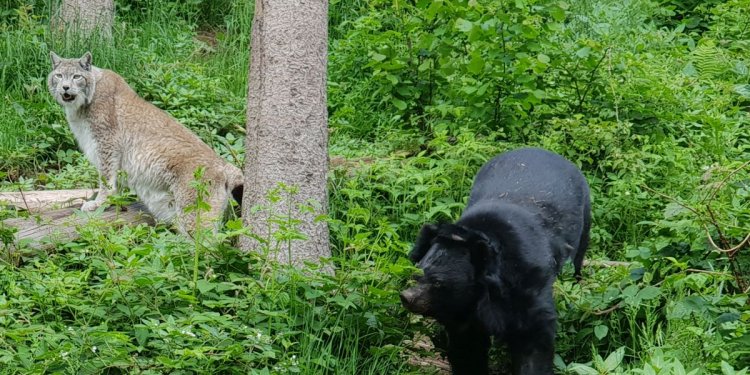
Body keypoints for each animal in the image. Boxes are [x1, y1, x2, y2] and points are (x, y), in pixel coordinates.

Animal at [402, 148, 592, 375]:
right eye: (417, 273)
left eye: (438, 282)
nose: (407, 297)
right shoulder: (464, 313)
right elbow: (467, 349)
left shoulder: (527, 287)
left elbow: (533, 342)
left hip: (584, 219)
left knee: (578, 259)